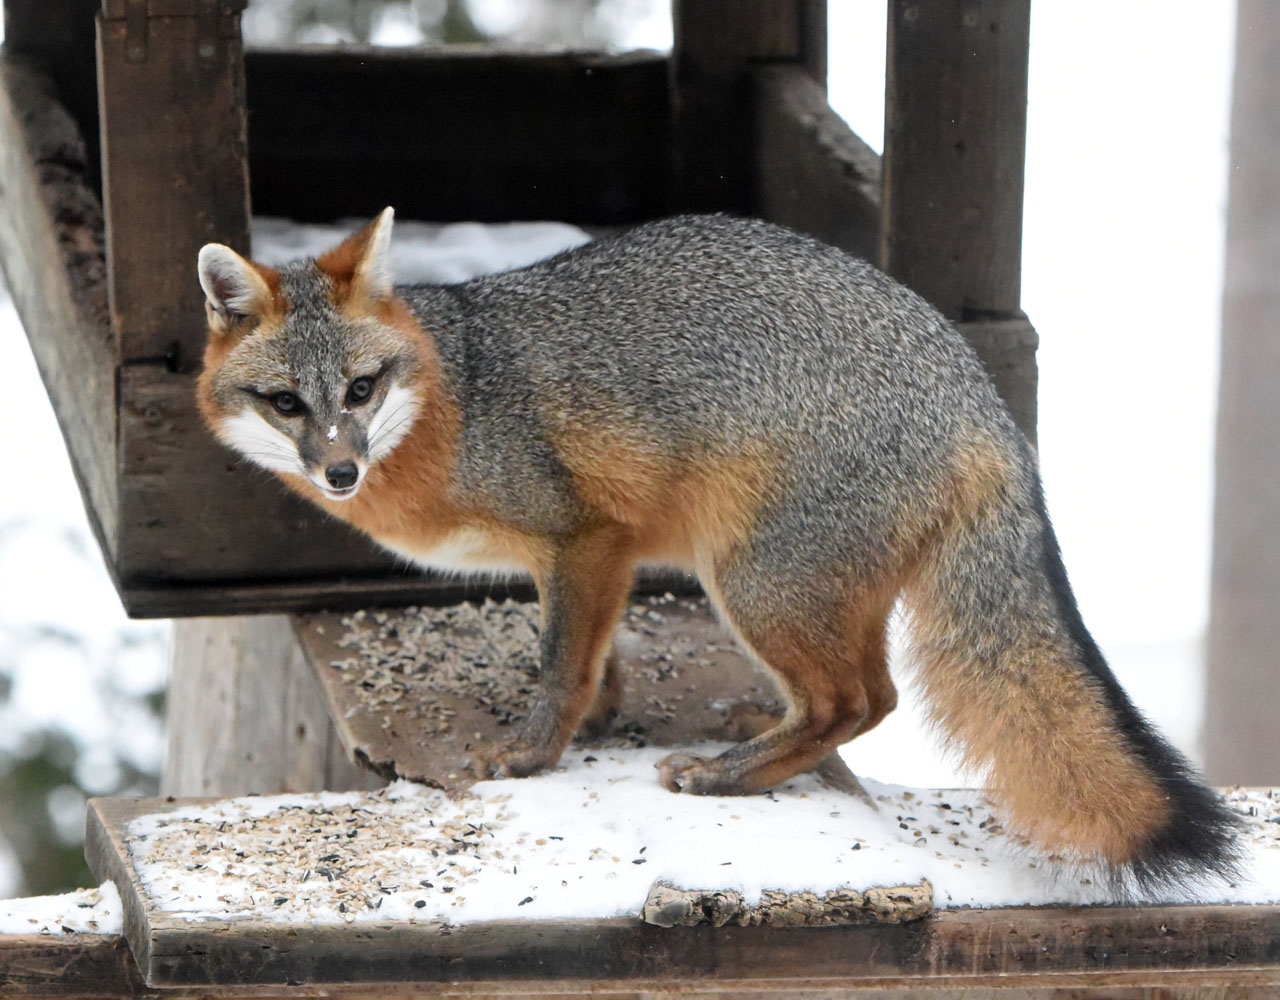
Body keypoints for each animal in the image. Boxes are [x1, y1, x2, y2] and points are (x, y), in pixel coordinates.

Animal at [195, 209, 1238, 894]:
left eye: (360, 389)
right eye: (287, 403)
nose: (339, 471)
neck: (459, 396)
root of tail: (983, 403)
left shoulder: (586, 535)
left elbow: (559, 664)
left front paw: (532, 755)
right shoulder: (587, 559)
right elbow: (592, 659)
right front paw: (596, 722)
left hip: (748, 581)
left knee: (862, 700)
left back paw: (726, 773)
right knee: (864, 697)